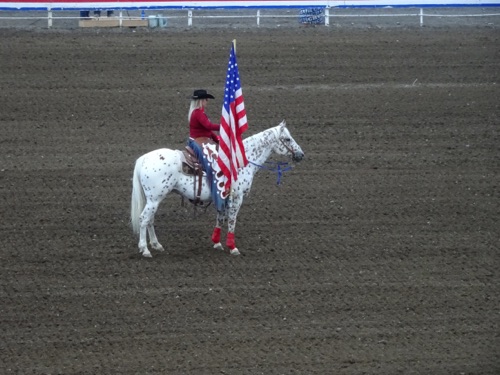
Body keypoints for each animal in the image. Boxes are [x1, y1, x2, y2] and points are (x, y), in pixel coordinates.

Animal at [131, 121, 304, 258]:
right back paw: (145, 249)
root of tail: (143, 159)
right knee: (144, 219)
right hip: (154, 199)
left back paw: (156, 245)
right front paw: (233, 247)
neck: (241, 161)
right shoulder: (237, 197)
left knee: (150, 220)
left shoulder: (223, 197)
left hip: (153, 200)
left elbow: (221, 217)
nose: (301, 155)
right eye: (287, 138)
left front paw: (216, 243)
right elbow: (232, 220)